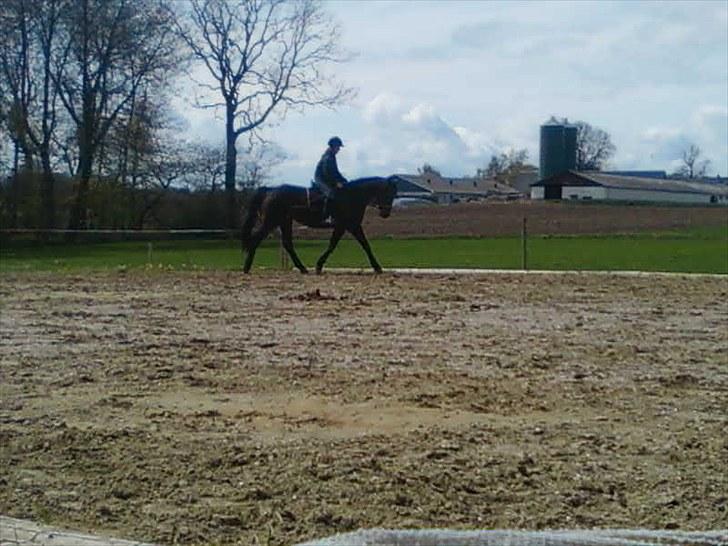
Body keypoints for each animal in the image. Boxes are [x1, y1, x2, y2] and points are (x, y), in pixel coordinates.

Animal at [240, 176, 398, 274]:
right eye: (388, 193)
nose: (386, 213)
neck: (353, 196)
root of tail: (270, 190)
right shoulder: (349, 225)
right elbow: (357, 245)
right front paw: (377, 267)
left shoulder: (346, 226)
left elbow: (341, 244)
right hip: (271, 222)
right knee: (256, 238)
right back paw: (246, 267)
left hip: (284, 222)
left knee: (287, 244)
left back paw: (302, 268)